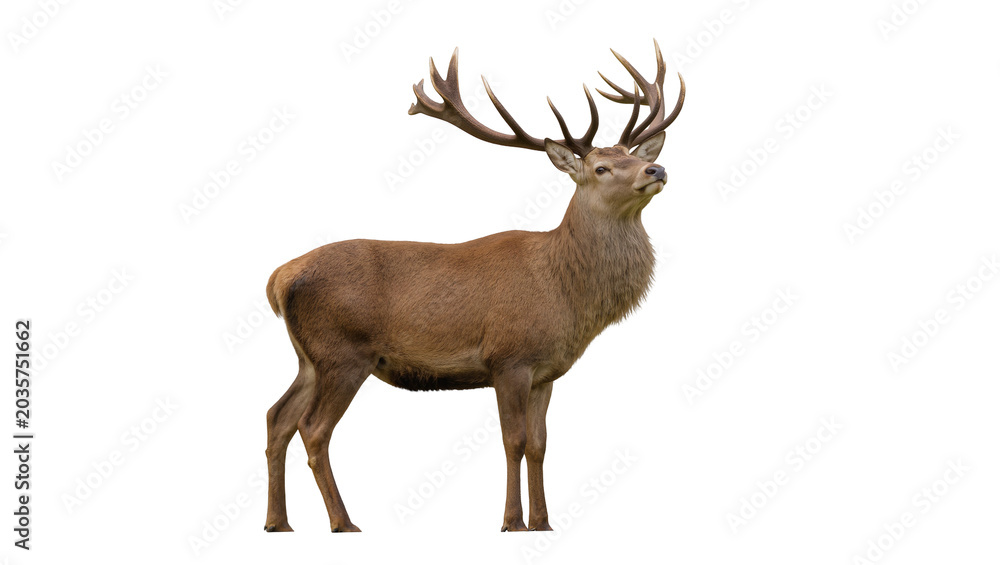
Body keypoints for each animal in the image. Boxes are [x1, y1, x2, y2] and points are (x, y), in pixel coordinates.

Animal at [263, 40, 684, 533]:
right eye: (601, 167)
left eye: (637, 157)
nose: (656, 170)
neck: (566, 294)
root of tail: (279, 277)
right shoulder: (508, 357)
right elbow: (513, 440)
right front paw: (511, 522)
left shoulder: (546, 371)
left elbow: (540, 444)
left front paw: (544, 522)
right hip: (344, 351)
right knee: (313, 429)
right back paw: (343, 522)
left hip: (309, 357)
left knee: (277, 417)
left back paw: (278, 522)